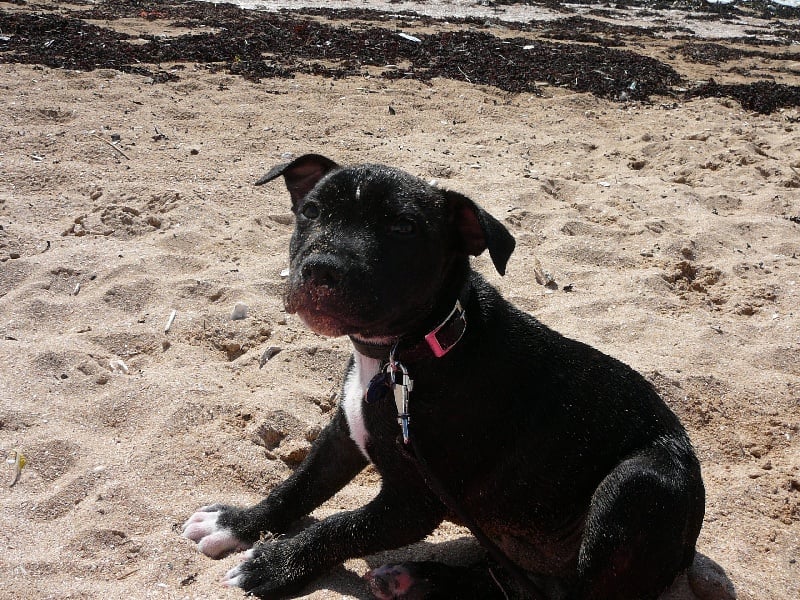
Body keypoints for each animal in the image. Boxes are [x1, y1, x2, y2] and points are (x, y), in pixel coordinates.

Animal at [182, 153, 706, 599]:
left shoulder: (414, 501)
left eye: (403, 226)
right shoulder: (342, 437)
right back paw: (417, 578)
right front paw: (235, 523)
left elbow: (339, 526)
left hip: (639, 482)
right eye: (310, 211)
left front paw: (273, 563)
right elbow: (296, 487)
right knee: (506, 581)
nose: (320, 269)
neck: (400, 358)